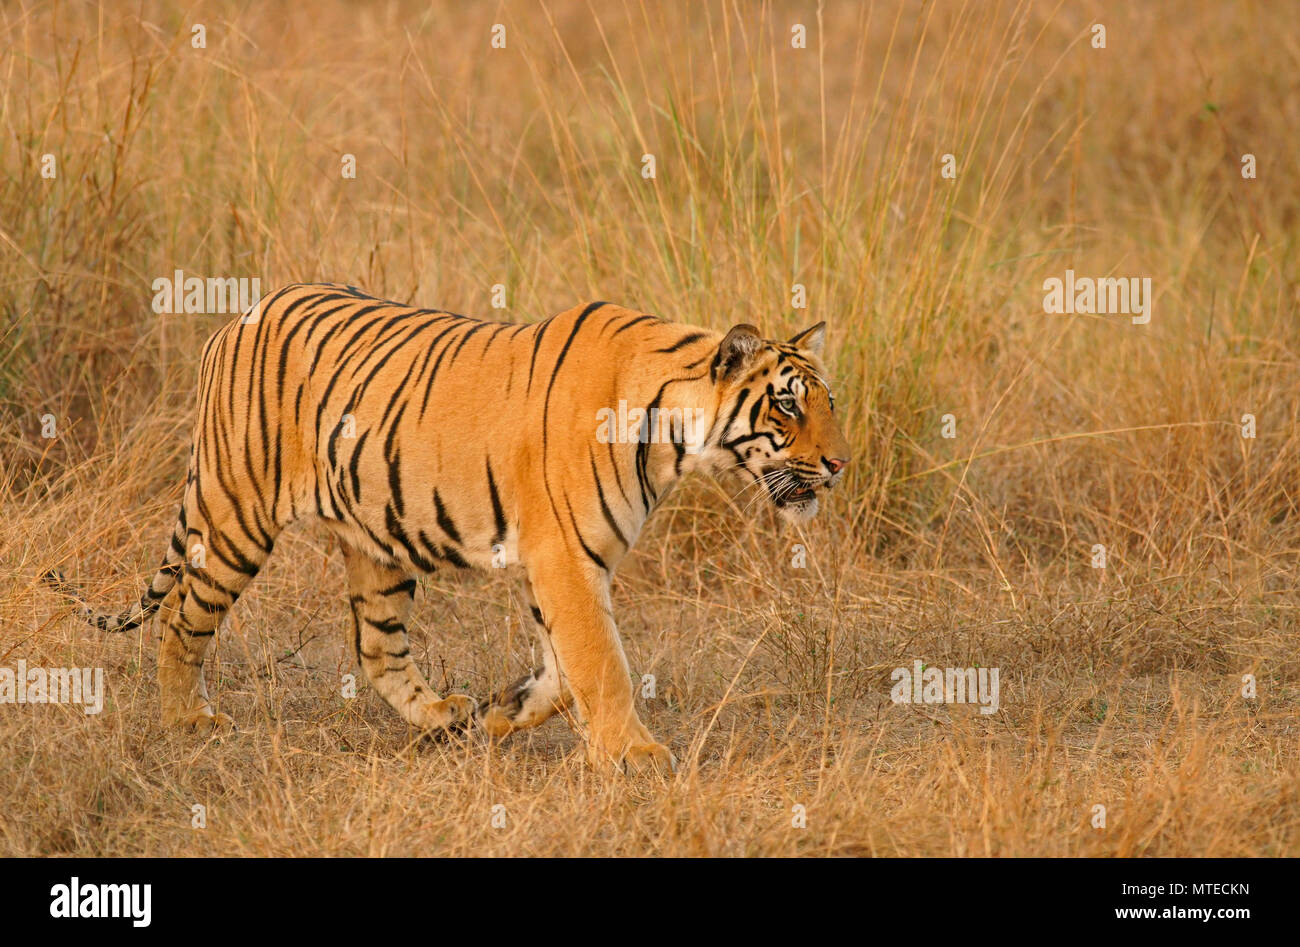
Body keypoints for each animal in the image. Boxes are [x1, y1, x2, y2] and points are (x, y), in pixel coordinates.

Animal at [46, 283, 850, 773]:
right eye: (786, 406)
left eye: (828, 401)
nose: (840, 463)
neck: (672, 433)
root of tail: (237, 317)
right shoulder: (565, 556)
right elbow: (602, 662)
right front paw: (636, 754)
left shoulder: (557, 563)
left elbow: (563, 670)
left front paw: (504, 713)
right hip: (236, 515)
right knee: (182, 616)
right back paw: (187, 719)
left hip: (375, 538)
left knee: (376, 645)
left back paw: (438, 715)